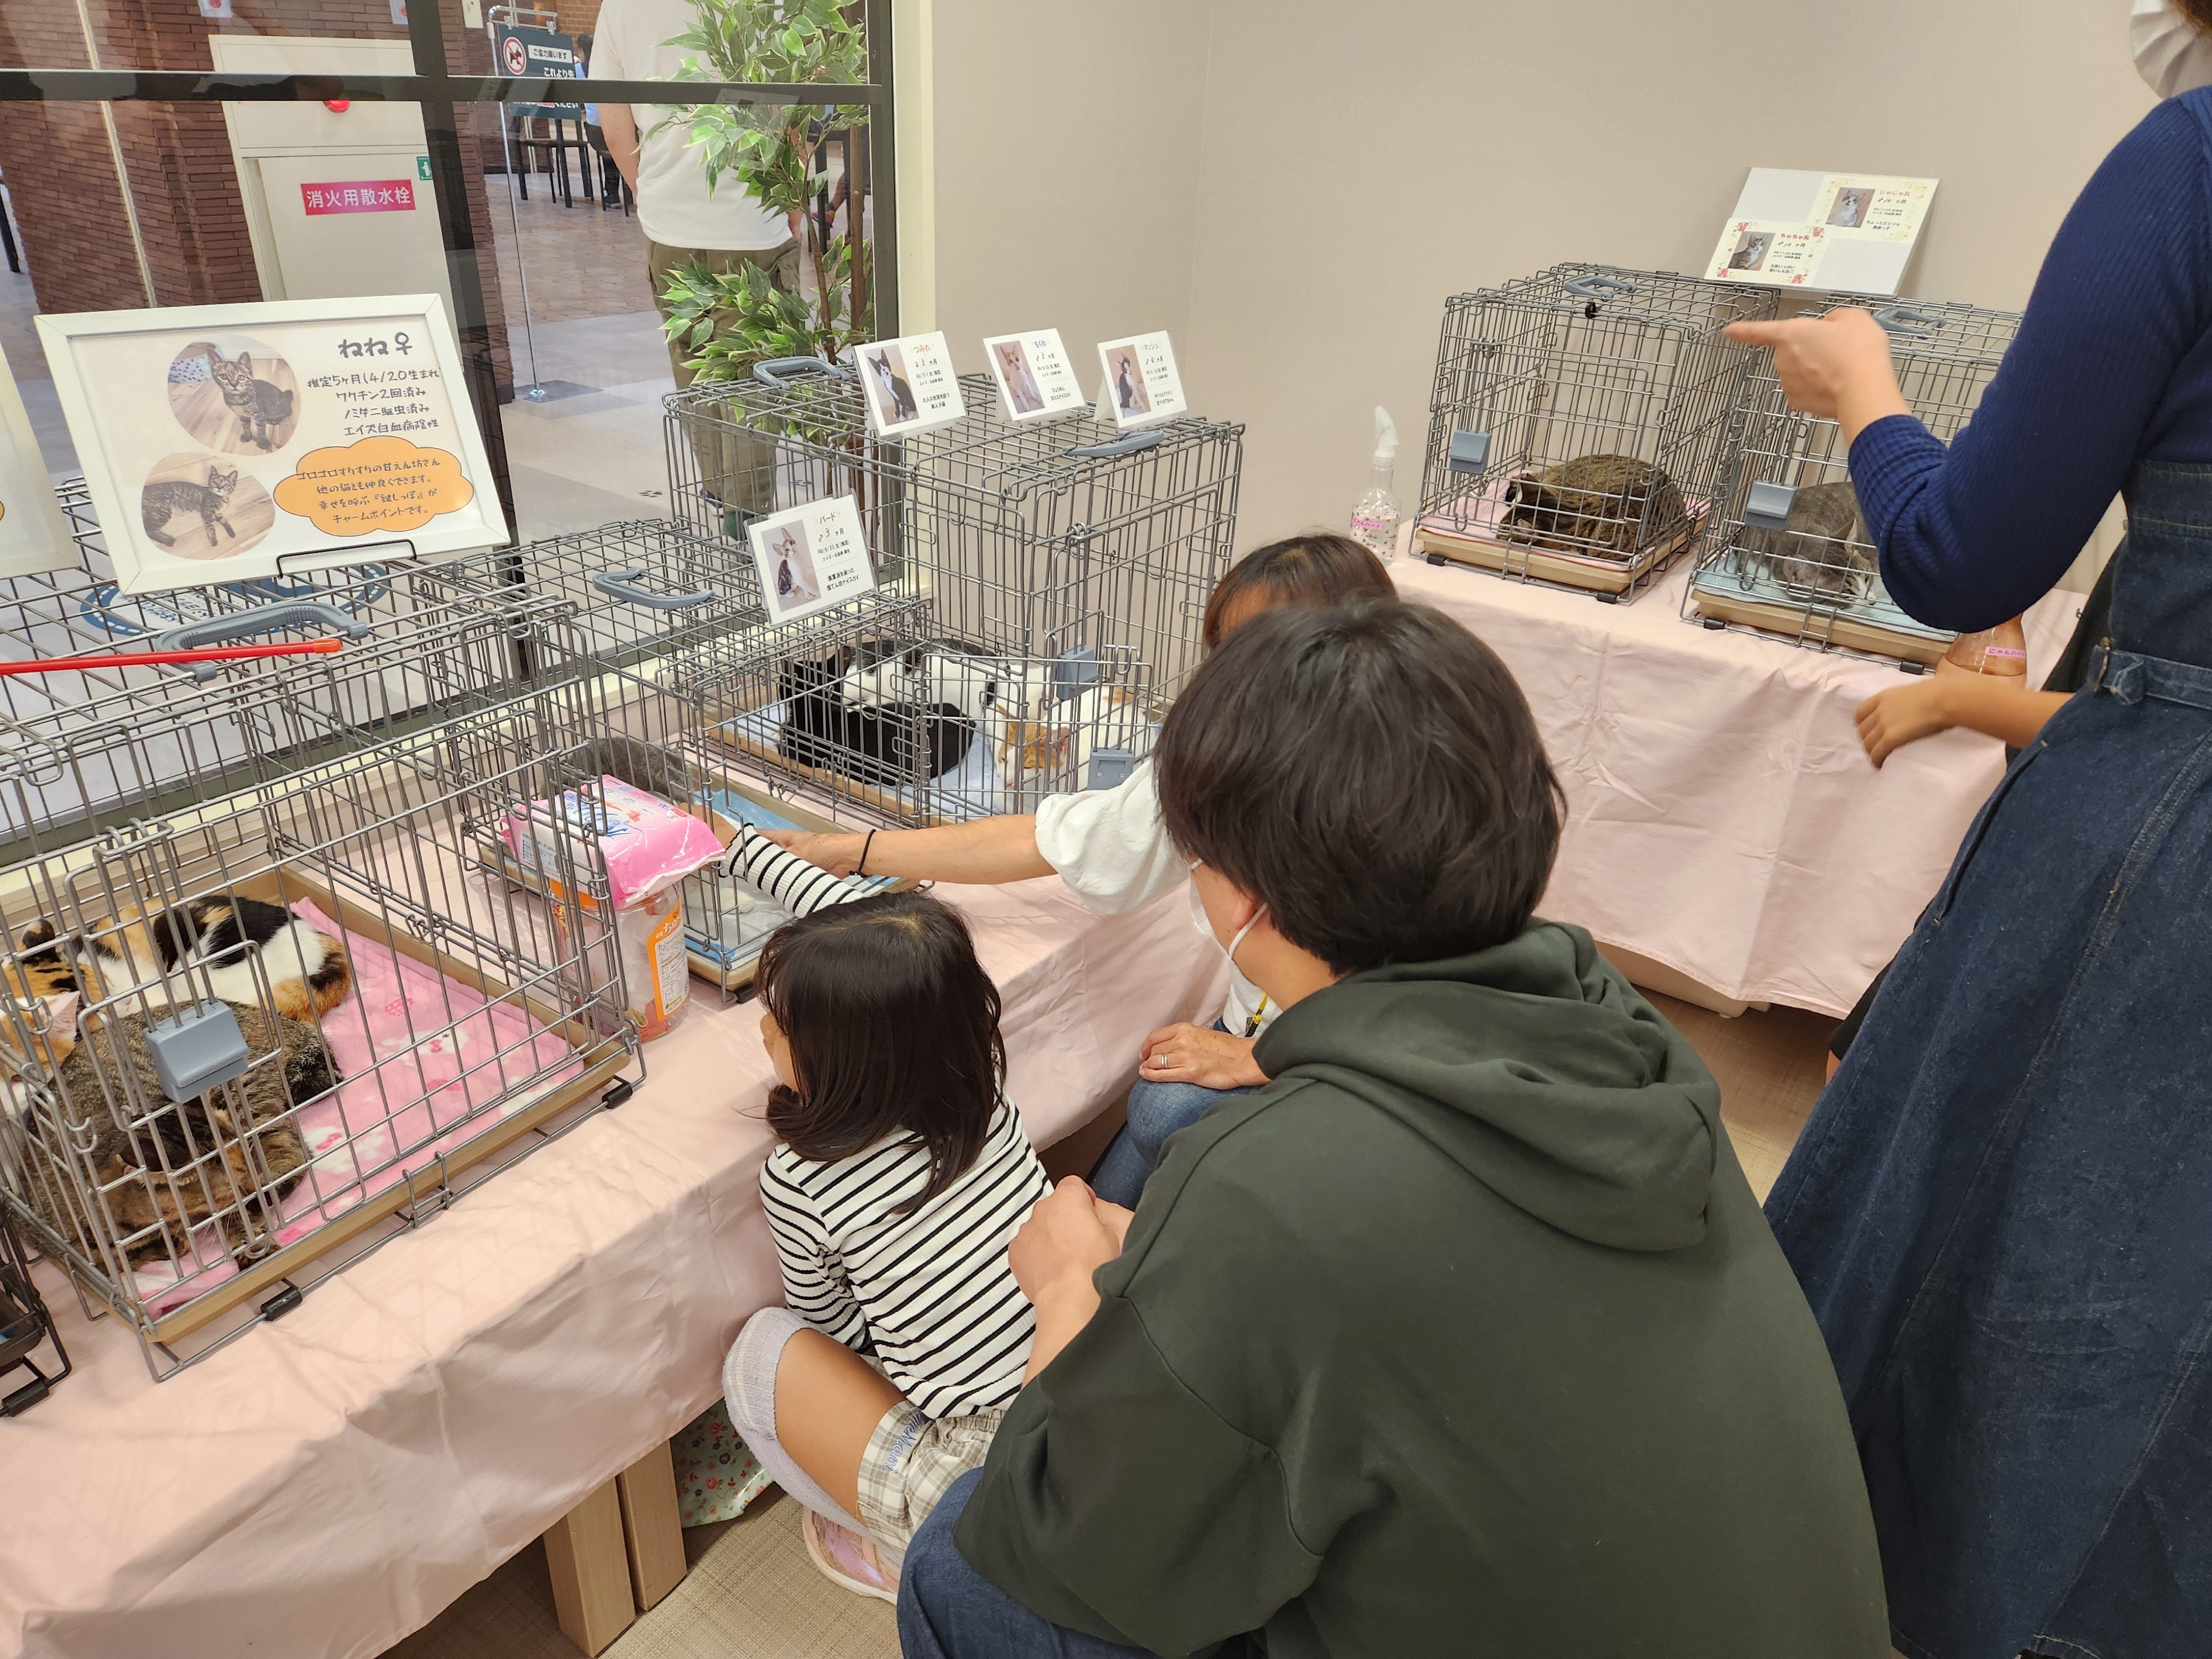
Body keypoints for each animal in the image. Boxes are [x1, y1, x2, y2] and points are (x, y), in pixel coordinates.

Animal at [0, 990, 331, 1267]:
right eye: (234, 1182)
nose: (254, 1188)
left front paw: (250, 1240)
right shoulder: (53, 1241)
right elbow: (115, 1261)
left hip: (246, 1096)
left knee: (293, 1149)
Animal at [141, 465, 239, 550]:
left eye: (226, 485)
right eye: (215, 482)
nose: (219, 488)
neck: (222, 499)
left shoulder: (219, 515)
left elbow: (226, 521)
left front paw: (232, 533)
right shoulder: (208, 513)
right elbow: (211, 528)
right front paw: (214, 540)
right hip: (163, 513)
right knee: (148, 530)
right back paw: (168, 540)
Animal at [206, 346, 295, 452]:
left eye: (241, 377)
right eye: (224, 376)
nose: (234, 384)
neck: (238, 400)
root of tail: (285, 395)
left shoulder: (259, 414)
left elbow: (261, 430)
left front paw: (264, 442)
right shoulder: (242, 416)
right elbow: (246, 427)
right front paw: (248, 436)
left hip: (282, 410)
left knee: (285, 415)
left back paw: (274, 420)